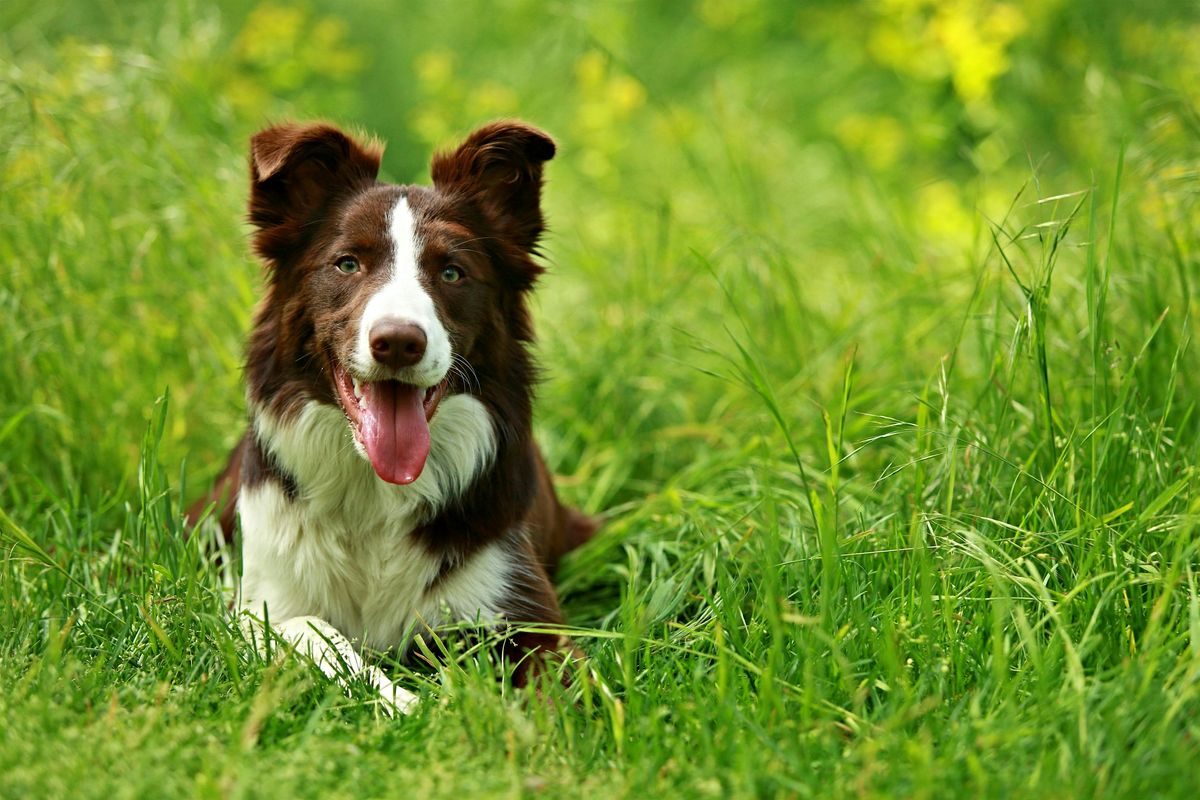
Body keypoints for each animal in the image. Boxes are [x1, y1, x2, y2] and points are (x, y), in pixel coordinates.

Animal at [192, 117, 600, 714]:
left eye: (452, 272)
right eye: (347, 263)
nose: (399, 343)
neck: (376, 491)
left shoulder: (522, 606)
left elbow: (561, 685)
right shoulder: (260, 604)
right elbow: (314, 632)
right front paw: (409, 705)